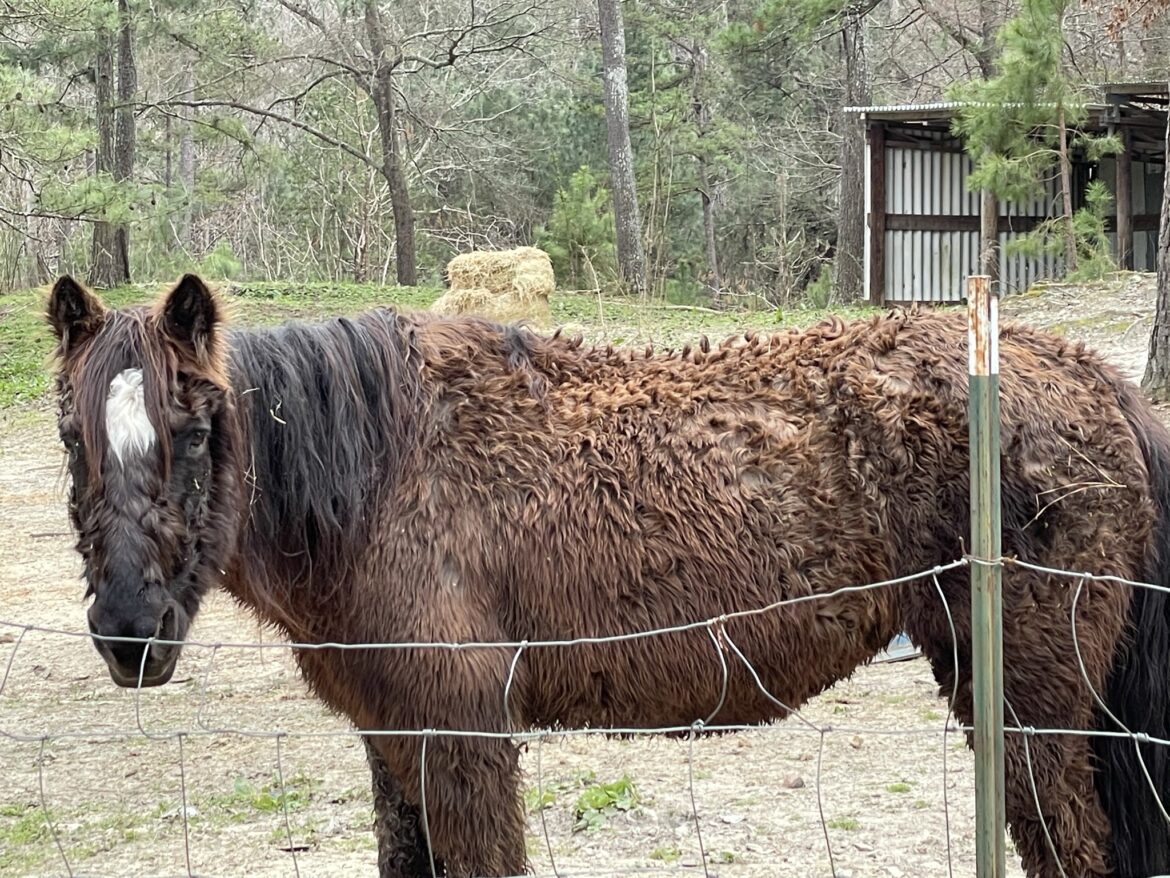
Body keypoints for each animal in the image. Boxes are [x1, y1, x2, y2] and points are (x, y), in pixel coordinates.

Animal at [43, 275, 1170, 878]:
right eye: (70, 436)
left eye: (195, 434)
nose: (130, 632)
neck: (383, 472)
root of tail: (1086, 372)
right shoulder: (393, 740)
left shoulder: (465, 741)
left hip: (1032, 713)